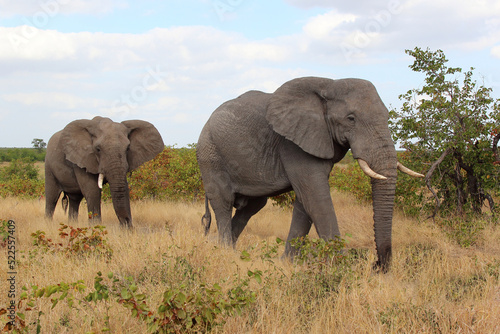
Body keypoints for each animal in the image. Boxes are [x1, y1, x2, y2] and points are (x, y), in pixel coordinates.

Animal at [197, 76, 424, 272]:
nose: (377, 266)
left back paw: (225, 248)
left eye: (387, 116)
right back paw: (226, 253)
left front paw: (287, 264)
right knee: (224, 202)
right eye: (351, 118)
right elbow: (315, 196)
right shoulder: (292, 142)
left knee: (251, 207)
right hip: (210, 154)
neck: (329, 84)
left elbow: (305, 199)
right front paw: (342, 269)